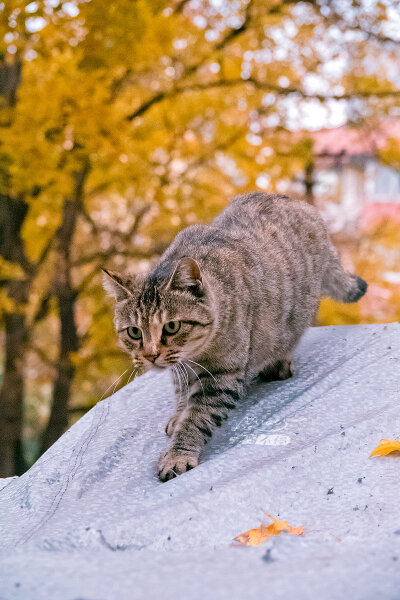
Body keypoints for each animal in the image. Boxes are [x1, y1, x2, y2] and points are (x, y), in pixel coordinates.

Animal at [104, 193, 368, 482]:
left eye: (172, 327)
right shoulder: (180, 367)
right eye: (134, 332)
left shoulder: (223, 376)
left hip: (297, 314)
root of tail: (296, 202)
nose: (151, 355)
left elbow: (197, 419)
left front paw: (178, 453)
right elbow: (181, 390)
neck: (195, 354)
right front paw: (178, 413)